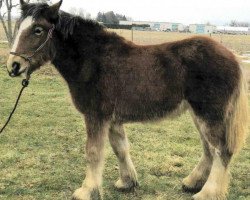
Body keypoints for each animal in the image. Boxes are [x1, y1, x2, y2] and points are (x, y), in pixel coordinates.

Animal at [5, 0, 248, 200]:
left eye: (38, 30)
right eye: (19, 27)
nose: (13, 66)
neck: (92, 60)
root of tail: (233, 57)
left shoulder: (96, 117)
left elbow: (93, 152)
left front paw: (86, 191)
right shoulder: (113, 120)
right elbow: (120, 148)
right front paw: (127, 182)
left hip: (209, 115)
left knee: (221, 150)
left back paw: (207, 193)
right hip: (199, 115)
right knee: (209, 150)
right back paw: (192, 183)